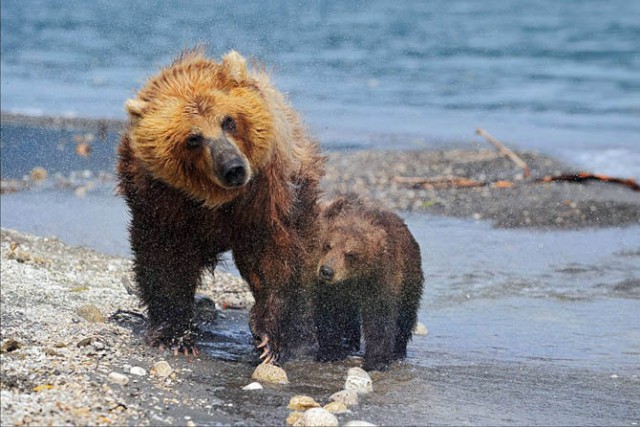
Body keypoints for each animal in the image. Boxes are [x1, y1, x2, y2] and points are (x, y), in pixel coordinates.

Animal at [117, 50, 322, 364]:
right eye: (193, 138)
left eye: (228, 121)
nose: (233, 168)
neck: (216, 200)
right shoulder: (162, 199)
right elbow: (164, 257)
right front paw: (174, 335)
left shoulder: (263, 193)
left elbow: (271, 255)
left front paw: (268, 337)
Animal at [312, 194, 422, 372]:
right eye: (327, 245)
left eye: (350, 253)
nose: (326, 271)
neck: (353, 279)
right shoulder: (329, 290)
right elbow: (327, 314)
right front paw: (329, 352)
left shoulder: (381, 278)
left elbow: (379, 318)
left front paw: (376, 361)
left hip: (410, 276)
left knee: (406, 314)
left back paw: (398, 350)